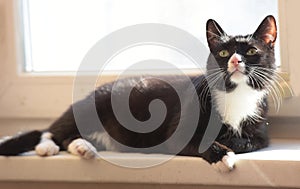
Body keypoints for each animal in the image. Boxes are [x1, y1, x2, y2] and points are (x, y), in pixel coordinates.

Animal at [0, 15, 278, 172]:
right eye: (222, 53)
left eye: (251, 51)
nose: (235, 61)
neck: (236, 95)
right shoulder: (179, 128)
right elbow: (197, 141)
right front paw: (223, 156)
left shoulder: (261, 132)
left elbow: (251, 141)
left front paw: (233, 142)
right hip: (93, 105)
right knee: (51, 131)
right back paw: (47, 147)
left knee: (67, 136)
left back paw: (82, 147)